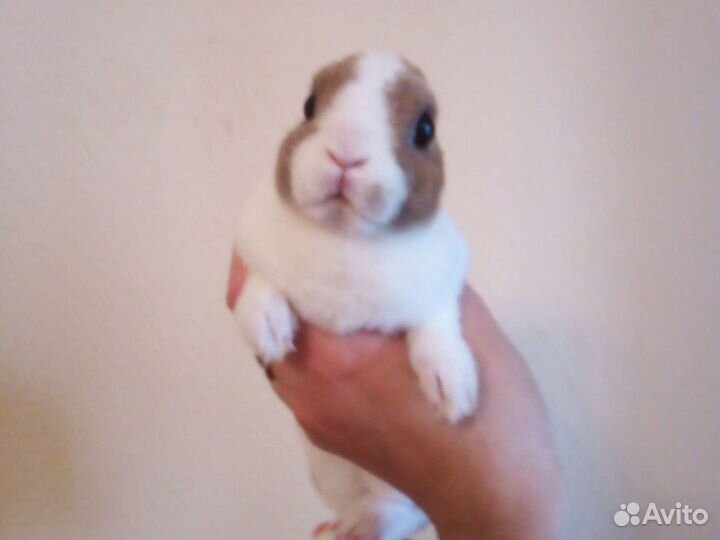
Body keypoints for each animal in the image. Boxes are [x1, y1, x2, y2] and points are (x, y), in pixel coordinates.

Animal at [232, 51, 478, 540]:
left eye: (425, 129)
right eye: (308, 105)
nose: (345, 153)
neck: (344, 237)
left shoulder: (443, 282)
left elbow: (437, 328)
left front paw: (452, 391)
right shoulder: (253, 248)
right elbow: (261, 285)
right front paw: (269, 331)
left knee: (403, 511)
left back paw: (358, 525)